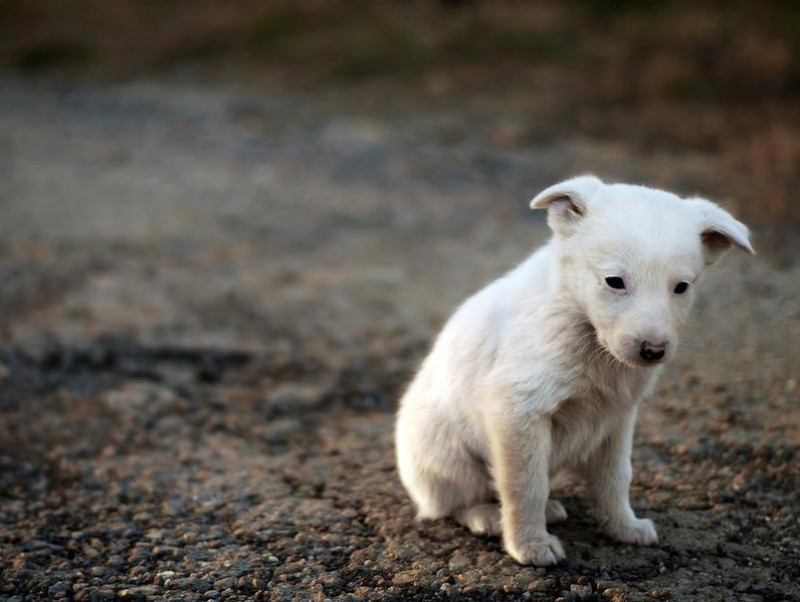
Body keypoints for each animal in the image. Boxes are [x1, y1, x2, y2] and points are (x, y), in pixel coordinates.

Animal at [396, 176, 752, 564]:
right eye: (614, 281)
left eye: (682, 287)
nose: (653, 351)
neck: (586, 331)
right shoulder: (519, 410)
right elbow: (526, 486)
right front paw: (530, 545)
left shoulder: (617, 418)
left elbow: (616, 478)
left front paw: (624, 527)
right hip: (446, 454)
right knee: (455, 502)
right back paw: (487, 516)